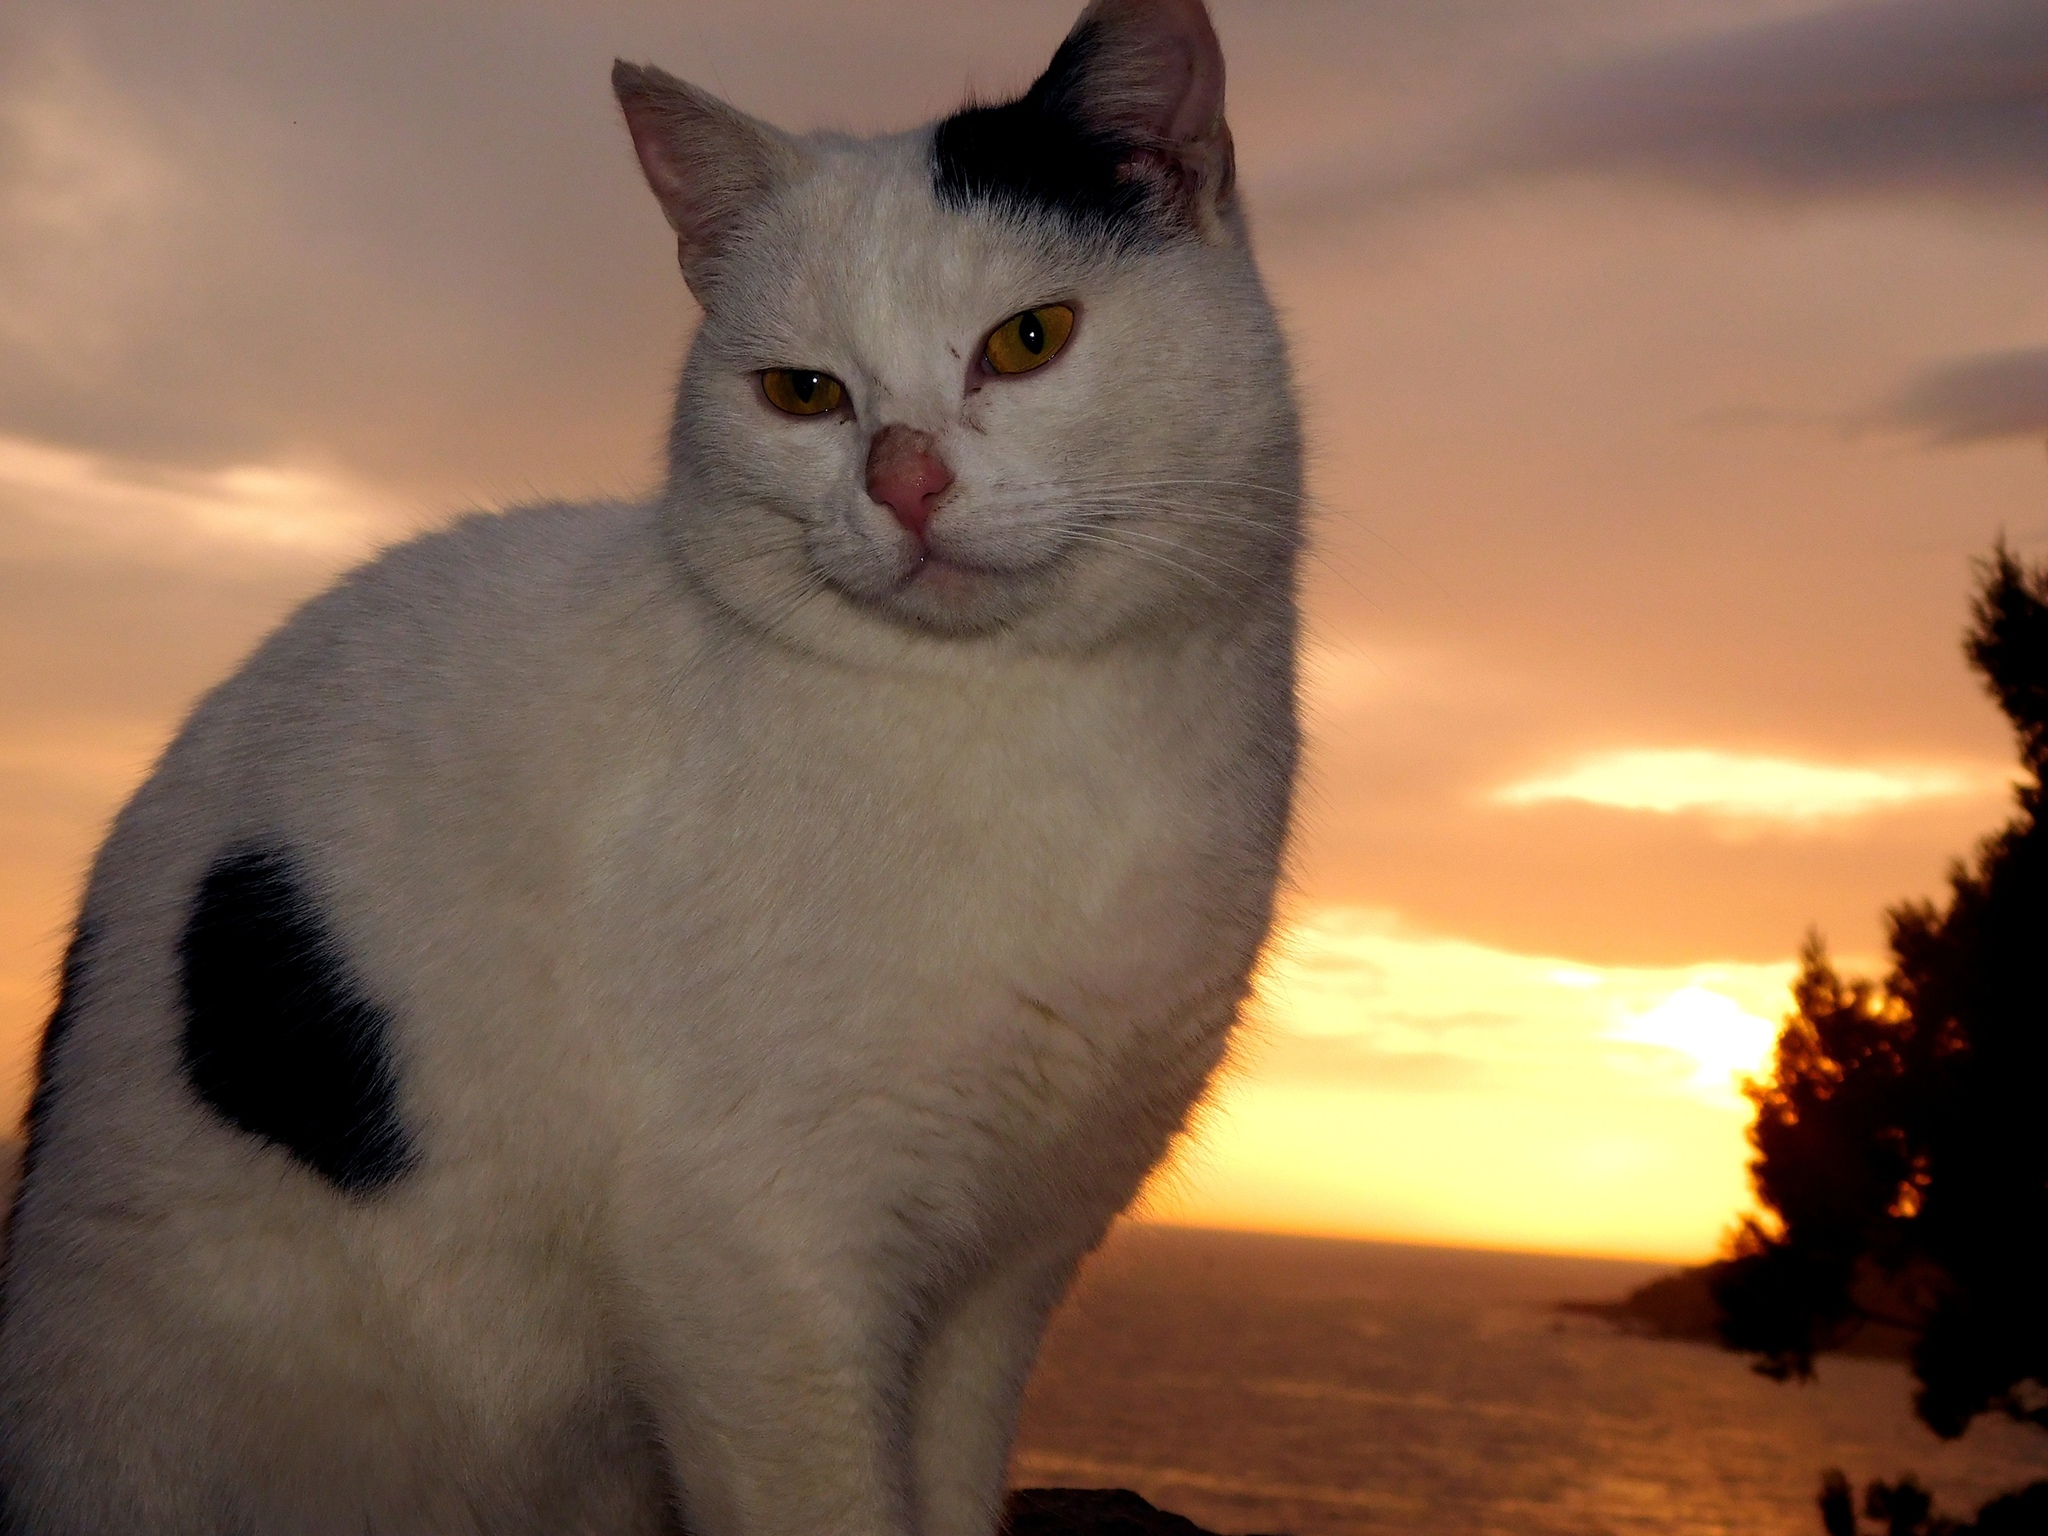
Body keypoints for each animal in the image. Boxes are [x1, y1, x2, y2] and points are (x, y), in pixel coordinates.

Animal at [0, 0, 1302, 1531]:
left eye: (1028, 339)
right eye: (804, 394)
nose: (903, 479)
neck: (1037, 724)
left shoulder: (1007, 1267)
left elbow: (945, 1482)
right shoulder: (752, 1256)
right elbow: (832, 1497)